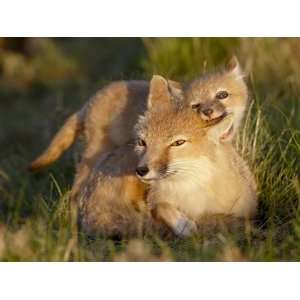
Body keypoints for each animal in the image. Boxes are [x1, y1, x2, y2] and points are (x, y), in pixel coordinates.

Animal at [78, 74, 256, 237]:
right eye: (142, 142)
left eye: (178, 143)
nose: (141, 170)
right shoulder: (155, 201)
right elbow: (159, 207)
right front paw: (182, 224)